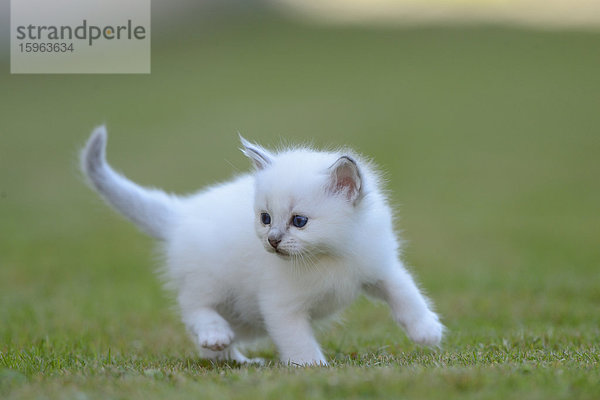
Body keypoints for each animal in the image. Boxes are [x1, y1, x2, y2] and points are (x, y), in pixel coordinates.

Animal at [81, 126, 440, 366]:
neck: (328, 255)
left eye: (299, 221)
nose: (272, 240)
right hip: (212, 283)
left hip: (245, 316)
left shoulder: (380, 265)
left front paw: (427, 332)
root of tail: (181, 213)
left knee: (209, 345)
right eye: (266, 218)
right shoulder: (281, 306)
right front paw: (312, 367)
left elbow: (407, 295)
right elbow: (296, 340)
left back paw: (233, 359)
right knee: (194, 310)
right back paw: (216, 335)